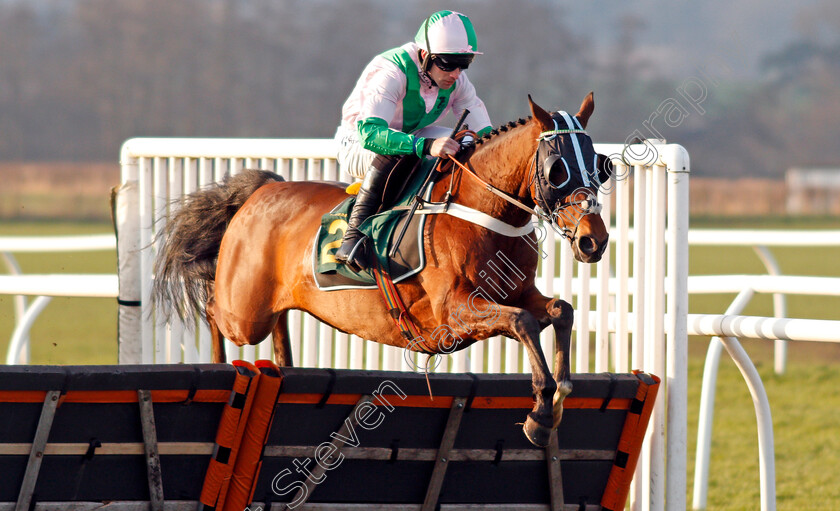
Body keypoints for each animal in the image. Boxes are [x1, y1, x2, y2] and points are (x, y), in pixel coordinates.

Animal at [153, 94, 612, 446]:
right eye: (557, 169)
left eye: (601, 165)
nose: (594, 240)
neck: (481, 210)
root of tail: (261, 190)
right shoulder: (454, 313)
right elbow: (523, 323)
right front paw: (541, 411)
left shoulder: (517, 293)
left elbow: (561, 311)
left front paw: (556, 401)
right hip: (244, 313)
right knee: (214, 310)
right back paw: (223, 368)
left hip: (267, 307)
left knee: (276, 324)